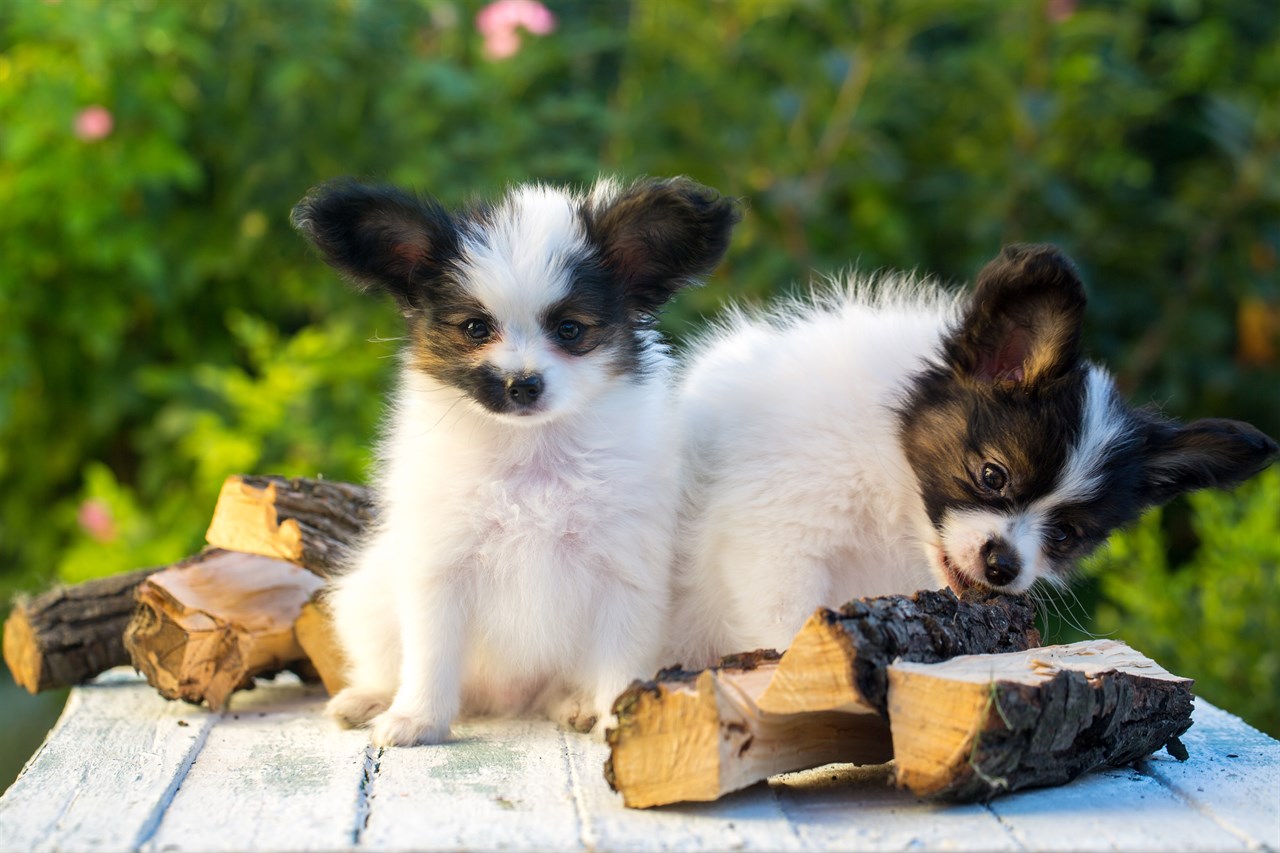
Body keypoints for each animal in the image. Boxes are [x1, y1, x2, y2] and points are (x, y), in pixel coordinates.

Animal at [293, 174, 737, 742]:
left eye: (570, 330)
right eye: (475, 329)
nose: (521, 384)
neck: (531, 452)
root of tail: (510, 700)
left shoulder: (624, 572)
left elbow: (619, 661)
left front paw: (619, 720)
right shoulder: (440, 566)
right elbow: (430, 654)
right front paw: (417, 719)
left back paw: (574, 704)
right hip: (368, 600)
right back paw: (369, 699)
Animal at [670, 240, 1280, 666]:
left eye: (1066, 535)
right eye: (992, 475)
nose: (1003, 566)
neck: (890, 493)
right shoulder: (776, 535)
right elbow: (790, 620)